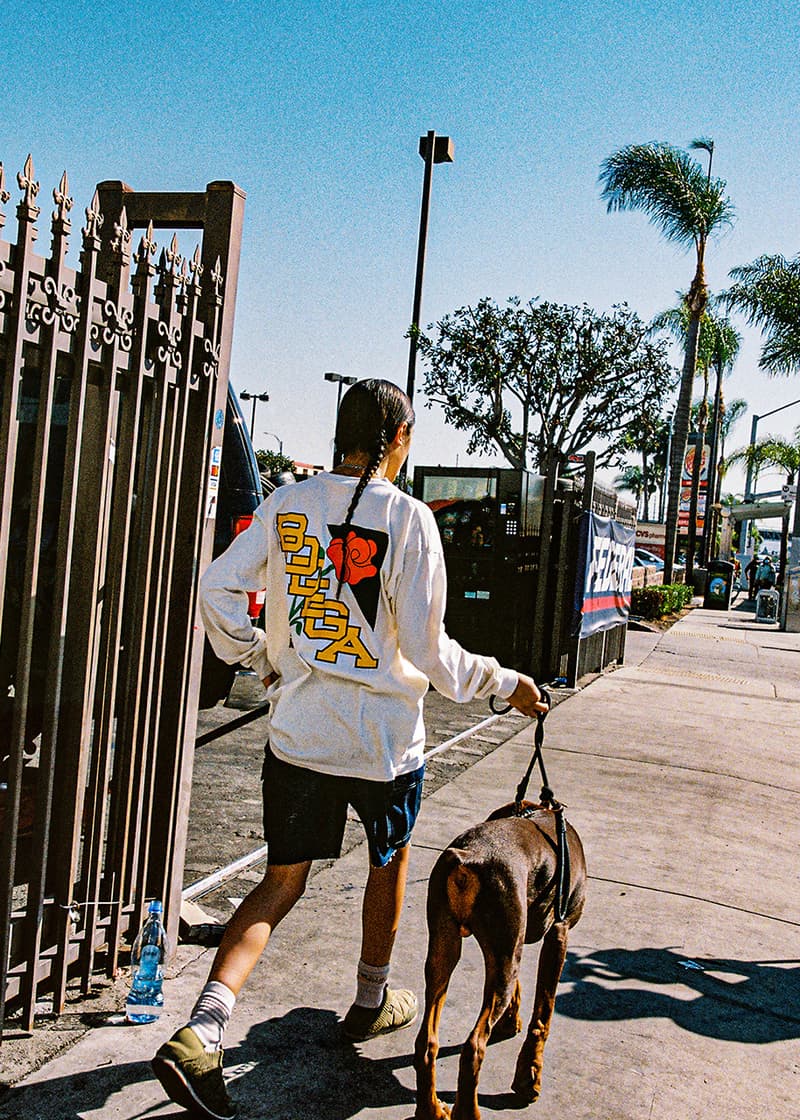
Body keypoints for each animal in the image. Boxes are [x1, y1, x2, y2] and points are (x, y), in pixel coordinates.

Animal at [414, 801, 582, 1115]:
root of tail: (468, 857)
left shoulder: (514, 942)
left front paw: (510, 1020)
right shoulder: (559, 932)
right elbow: (544, 1012)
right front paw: (529, 1077)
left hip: (446, 948)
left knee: (427, 1043)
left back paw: (431, 1110)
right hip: (502, 945)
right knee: (474, 1047)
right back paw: (468, 1112)